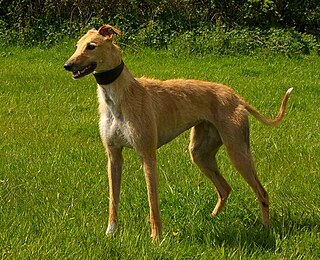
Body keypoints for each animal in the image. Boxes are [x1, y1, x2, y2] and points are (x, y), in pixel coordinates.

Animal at [63, 24, 294, 242]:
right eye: (77, 45)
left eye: (91, 46)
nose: (67, 65)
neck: (121, 95)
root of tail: (236, 96)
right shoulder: (113, 156)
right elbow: (113, 199)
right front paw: (110, 233)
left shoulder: (147, 155)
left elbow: (153, 201)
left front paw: (156, 238)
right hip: (200, 152)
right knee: (225, 188)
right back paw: (212, 218)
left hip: (237, 151)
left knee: (262, 192)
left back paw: (266, 229)